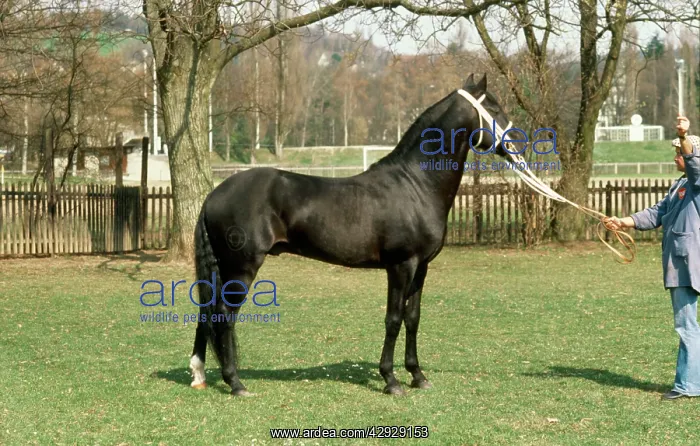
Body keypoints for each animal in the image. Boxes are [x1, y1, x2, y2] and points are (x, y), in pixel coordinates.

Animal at [190, 73, 516, 396]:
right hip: (241, 268)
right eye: (495, 108)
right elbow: (393, 319)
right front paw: (391, 380)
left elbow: (413, 318)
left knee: (207, 313)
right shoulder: (401, 266)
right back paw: (235, 382)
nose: (514, 145)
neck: (416, 185)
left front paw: (417, 375)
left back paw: (200, 373)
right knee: (223, 315)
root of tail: (214, 195)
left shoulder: (421, 267)